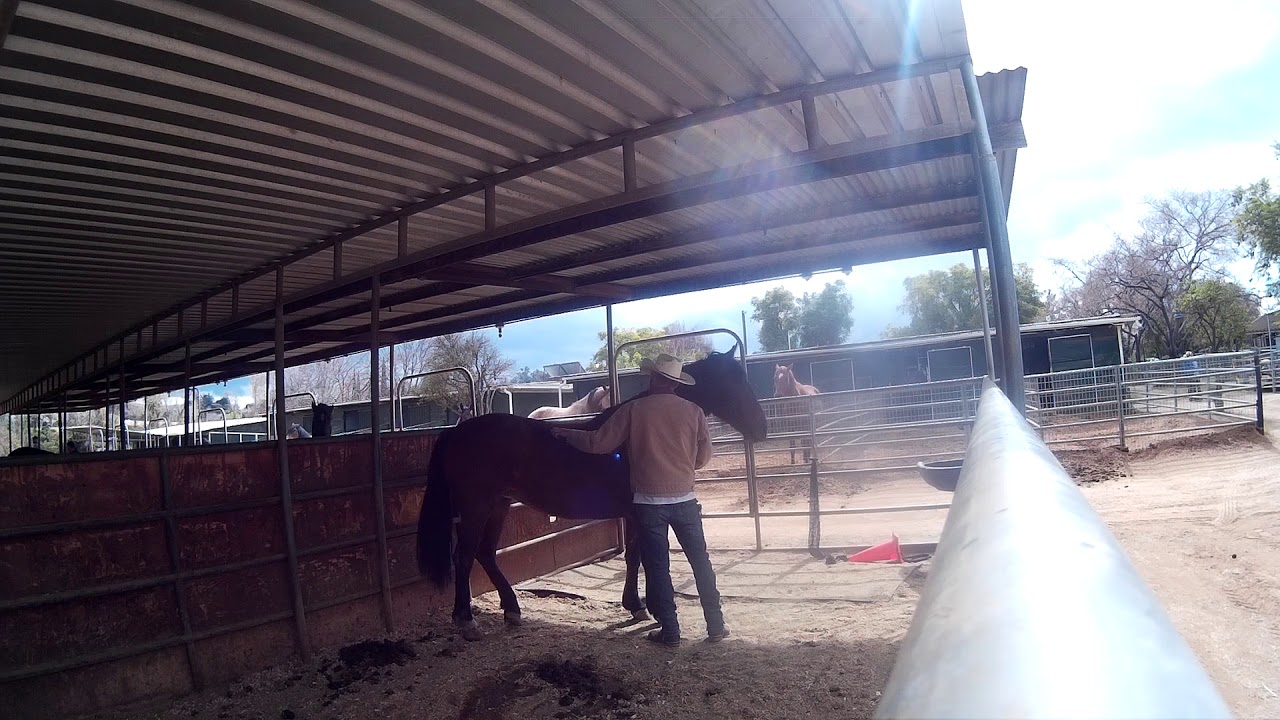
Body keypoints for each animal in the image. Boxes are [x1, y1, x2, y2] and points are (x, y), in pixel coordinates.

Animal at [417, 347, 767, 640]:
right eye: (733, 383)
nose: (761, 429)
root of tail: (457, 432)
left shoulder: (634, 512)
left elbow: (637, 557)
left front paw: (639, 606)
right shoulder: (637, 511)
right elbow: (642, 556)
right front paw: (646, 607)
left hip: (498, 506)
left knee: (486, 553)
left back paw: (512, 610)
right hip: (476, 507)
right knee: (464, 556)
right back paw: (466, 621)